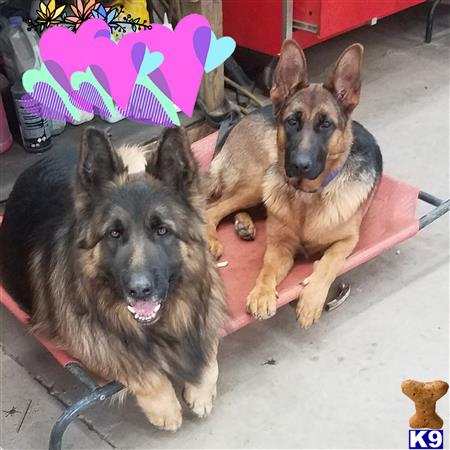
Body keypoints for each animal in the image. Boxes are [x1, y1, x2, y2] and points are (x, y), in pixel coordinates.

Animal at [0, 126, 225, 428]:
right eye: (114, 233)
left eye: (162, 230)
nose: (139, 290)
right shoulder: (88, 344)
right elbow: (137, 367)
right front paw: (165, 407)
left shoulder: (209, 303)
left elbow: (209, 349)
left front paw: (201, 388)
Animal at [206, 39, 382, 326]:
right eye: (292, 121)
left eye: (325, 125)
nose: (299, 165)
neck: (306, 197)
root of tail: (242, 118)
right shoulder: (280, 246)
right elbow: (267, 268)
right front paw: (262, 293)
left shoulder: (347, 241)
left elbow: (329, 263)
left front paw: (311, 299)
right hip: (260, 179)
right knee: (213, 208)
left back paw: (244, 224)